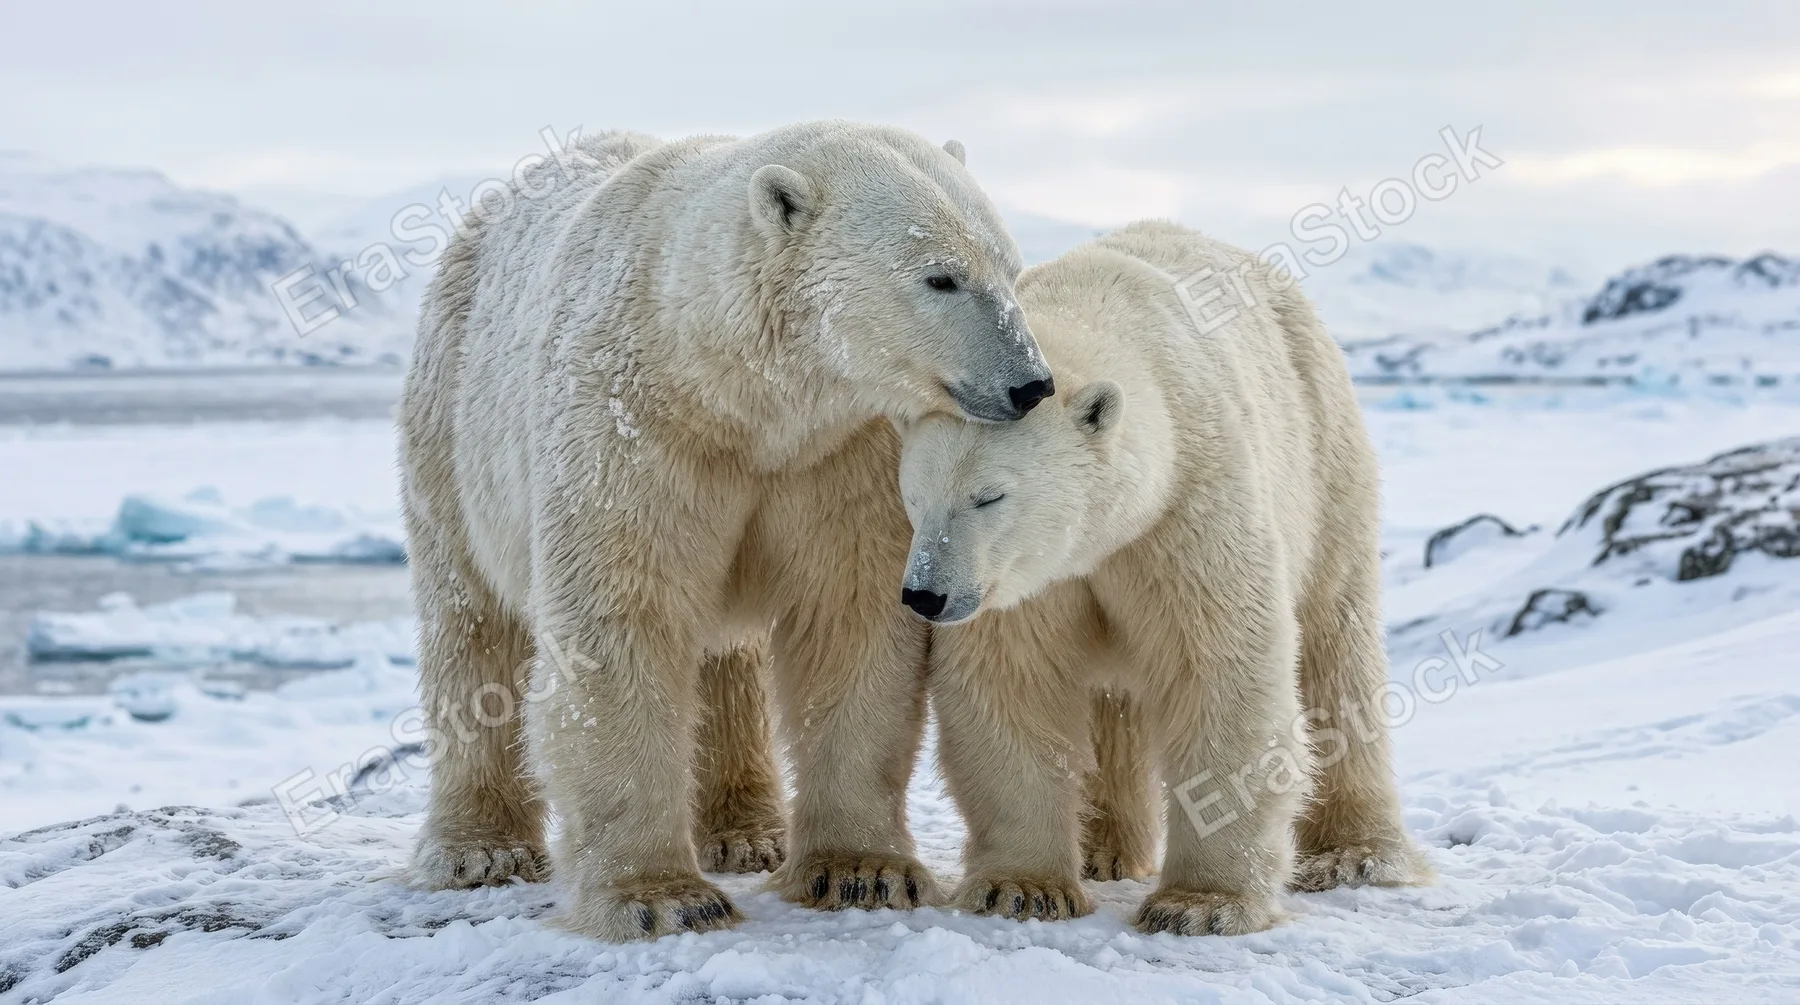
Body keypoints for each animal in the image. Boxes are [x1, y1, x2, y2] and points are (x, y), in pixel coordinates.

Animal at [398, 122, 1056, 942]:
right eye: (941, 278)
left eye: (1011, 269)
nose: (1032, 383)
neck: (729, 388)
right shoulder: (633, 425)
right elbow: (623, 619)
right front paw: (662, 896)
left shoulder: (842, 449)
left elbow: (851, 616)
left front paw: (861, 869)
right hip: (452, 425)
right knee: (470, 623)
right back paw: (478, 849)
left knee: (727, 660)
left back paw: (747, 831)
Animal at [893, 220, 1431, 936]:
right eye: (915, 498)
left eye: (989, 497)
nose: (927, 595)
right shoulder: (1030, 581)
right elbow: (1011, 679)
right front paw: (1025, 888)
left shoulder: (1185, 507)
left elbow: (1219, 664)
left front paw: (1200, 905)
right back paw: (1105, 850)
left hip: (1325, 458)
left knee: (1333, 646)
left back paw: (1356, 855)